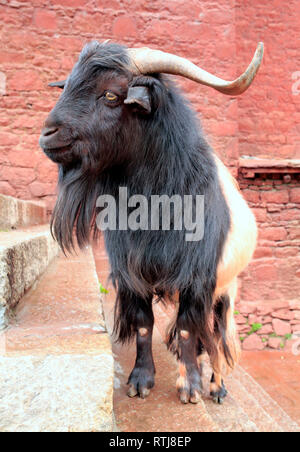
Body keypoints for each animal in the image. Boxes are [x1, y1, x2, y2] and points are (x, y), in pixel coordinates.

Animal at [39, 40, 262, 404]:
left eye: (111, 94)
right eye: (69, 84)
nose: (48, 134)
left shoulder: (196, 278)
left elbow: (186, 328)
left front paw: (189, 388)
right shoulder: (132, 274)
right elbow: (145, 323)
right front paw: (140, 381)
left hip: (228, 289)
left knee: (218, 334)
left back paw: (216, 386)